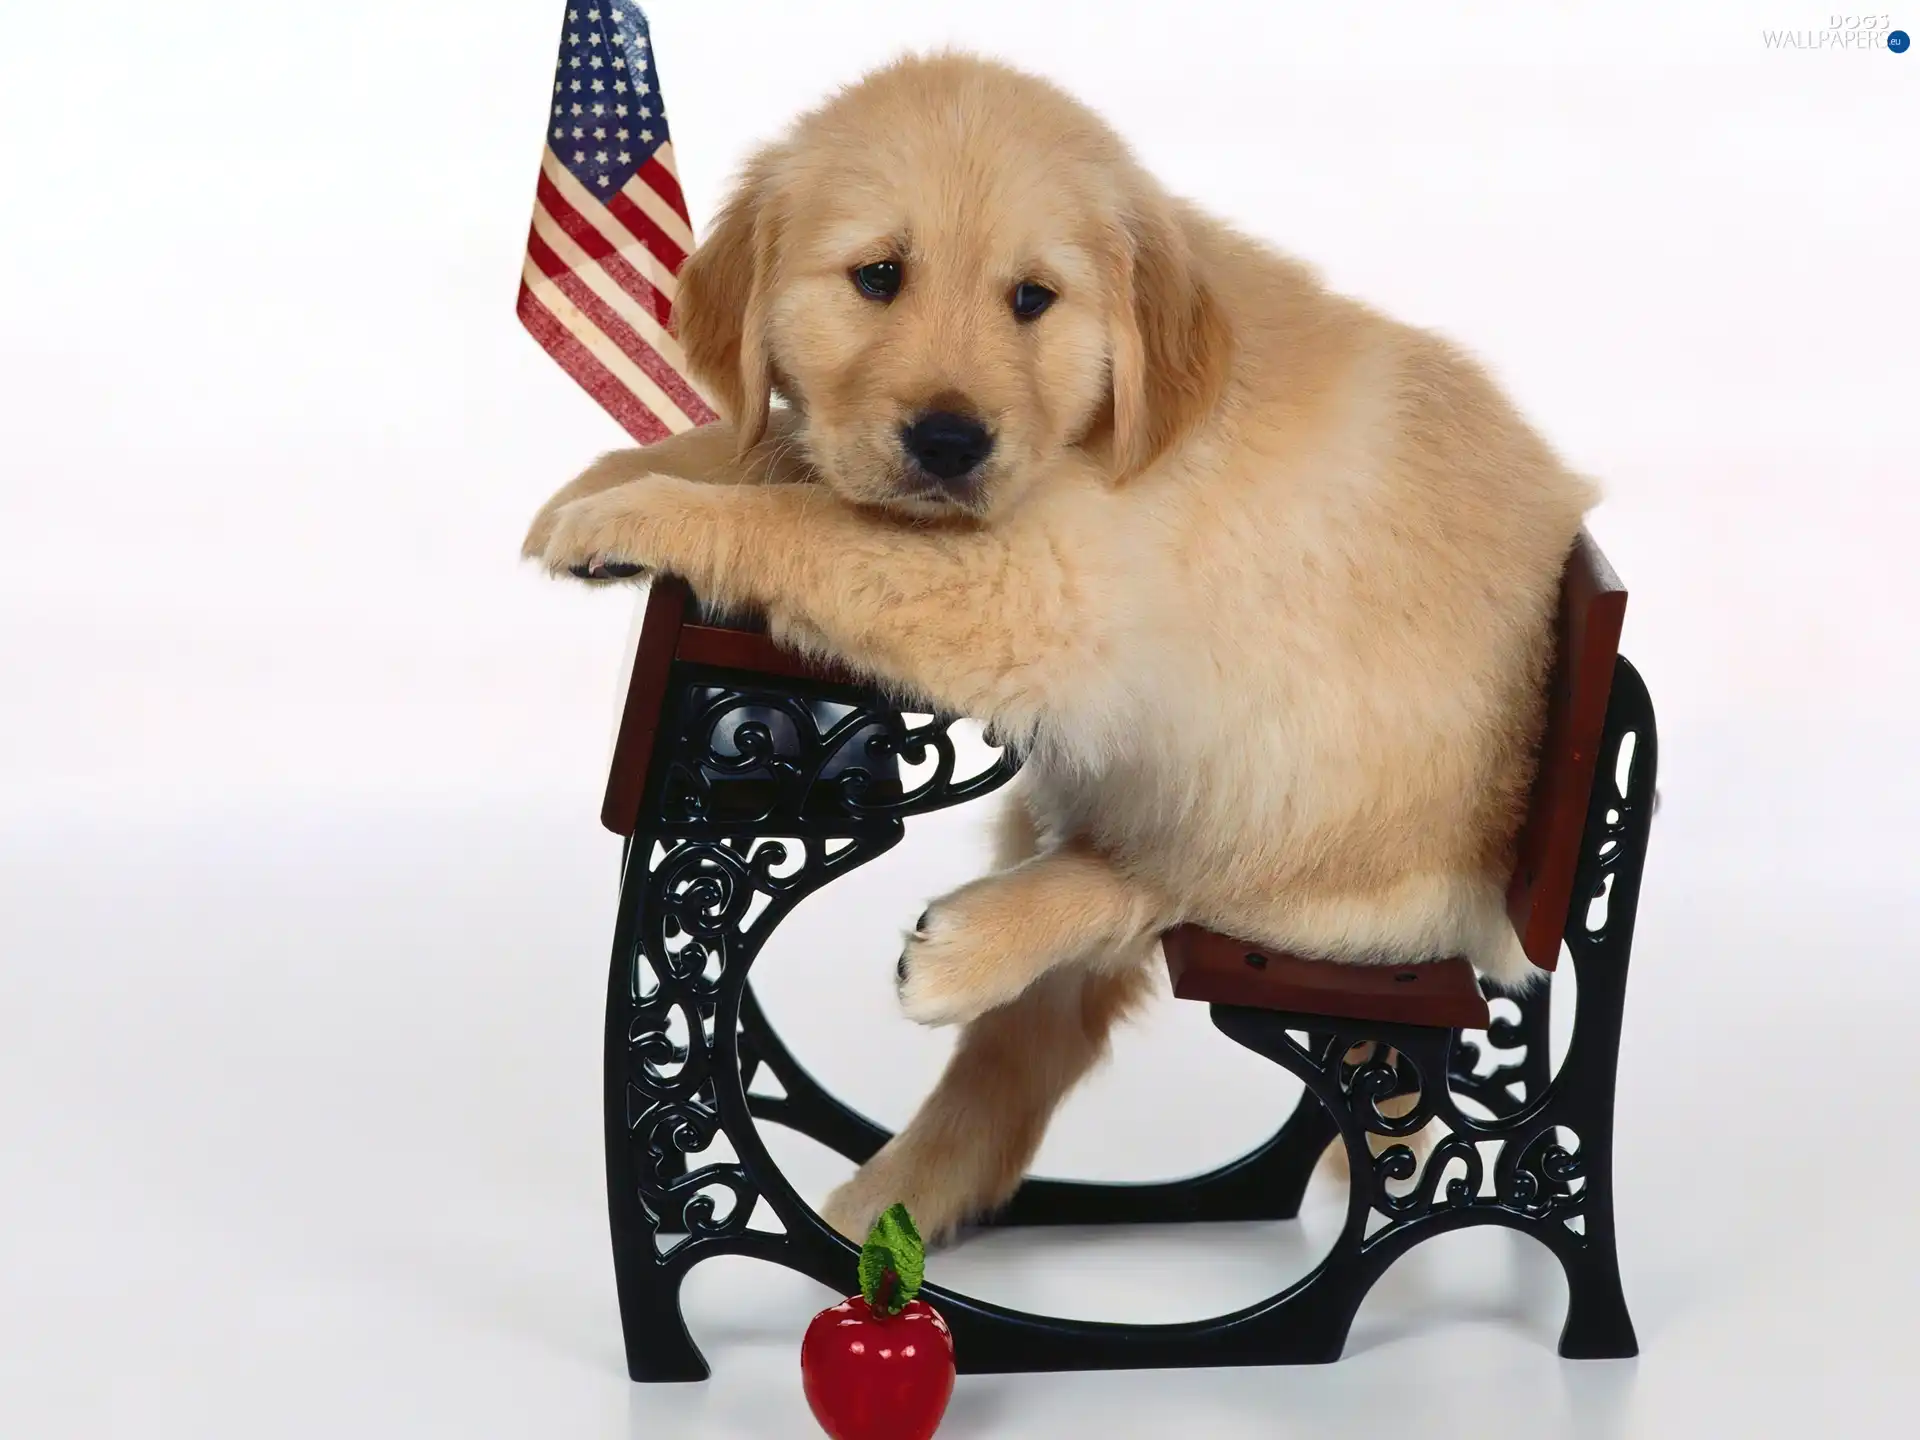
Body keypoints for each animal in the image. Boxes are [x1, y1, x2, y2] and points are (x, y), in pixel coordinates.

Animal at [522, 50, 1589, 1244]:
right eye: (878, 277)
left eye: (1032, 299)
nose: (950, 442)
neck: (1100, 428)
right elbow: (785, 453)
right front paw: (619, 472)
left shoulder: (1042, 591)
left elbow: (806, 522)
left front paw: (629, 512)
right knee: (1030, 1044)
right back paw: (886, 1209)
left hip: (1288, 816)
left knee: (1153, 886)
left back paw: (974, 950)